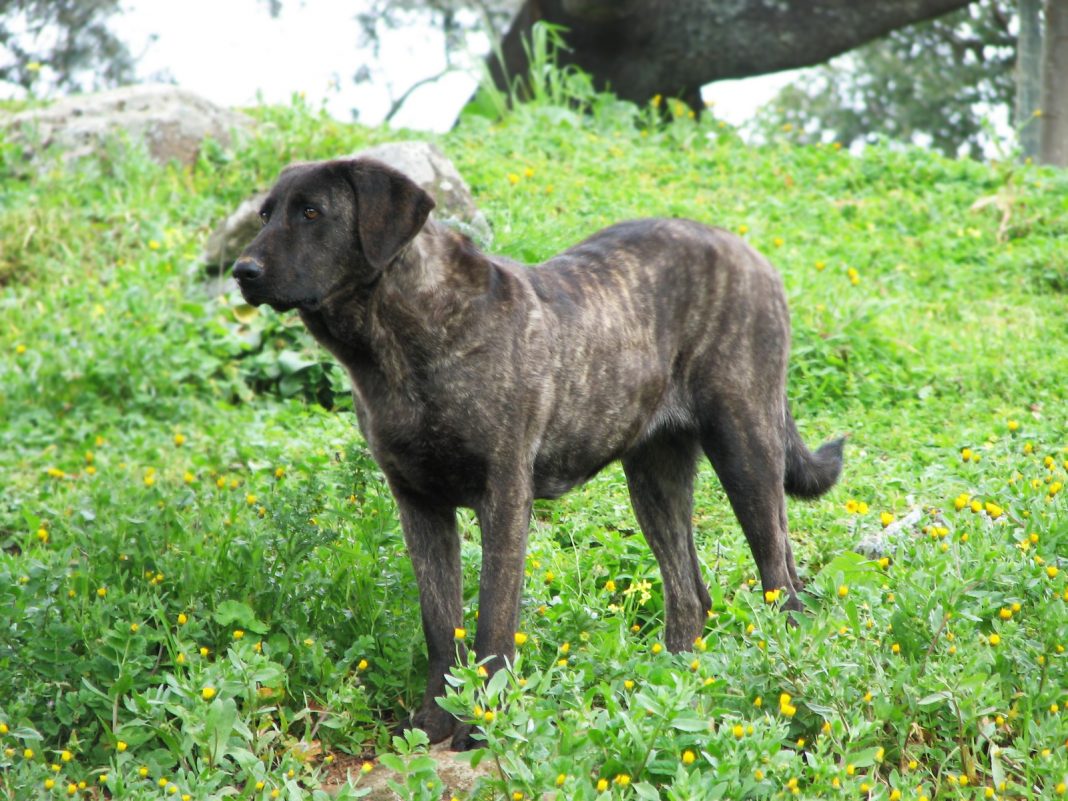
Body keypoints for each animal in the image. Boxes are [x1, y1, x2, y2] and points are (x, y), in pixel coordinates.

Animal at [233, 158, 841, 751]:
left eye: (312, 212)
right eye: (265, 213)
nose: (242, 271)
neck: (402, 342)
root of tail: (750, 253)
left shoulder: (503, 496)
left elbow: (493, 622)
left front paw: (481, 726)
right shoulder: (419, 506)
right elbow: (440, 626)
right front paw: (433, 722)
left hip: (745, 447)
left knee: (781, 581)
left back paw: (780, 679)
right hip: (655, 482)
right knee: (692, 592)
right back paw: (673, 691)